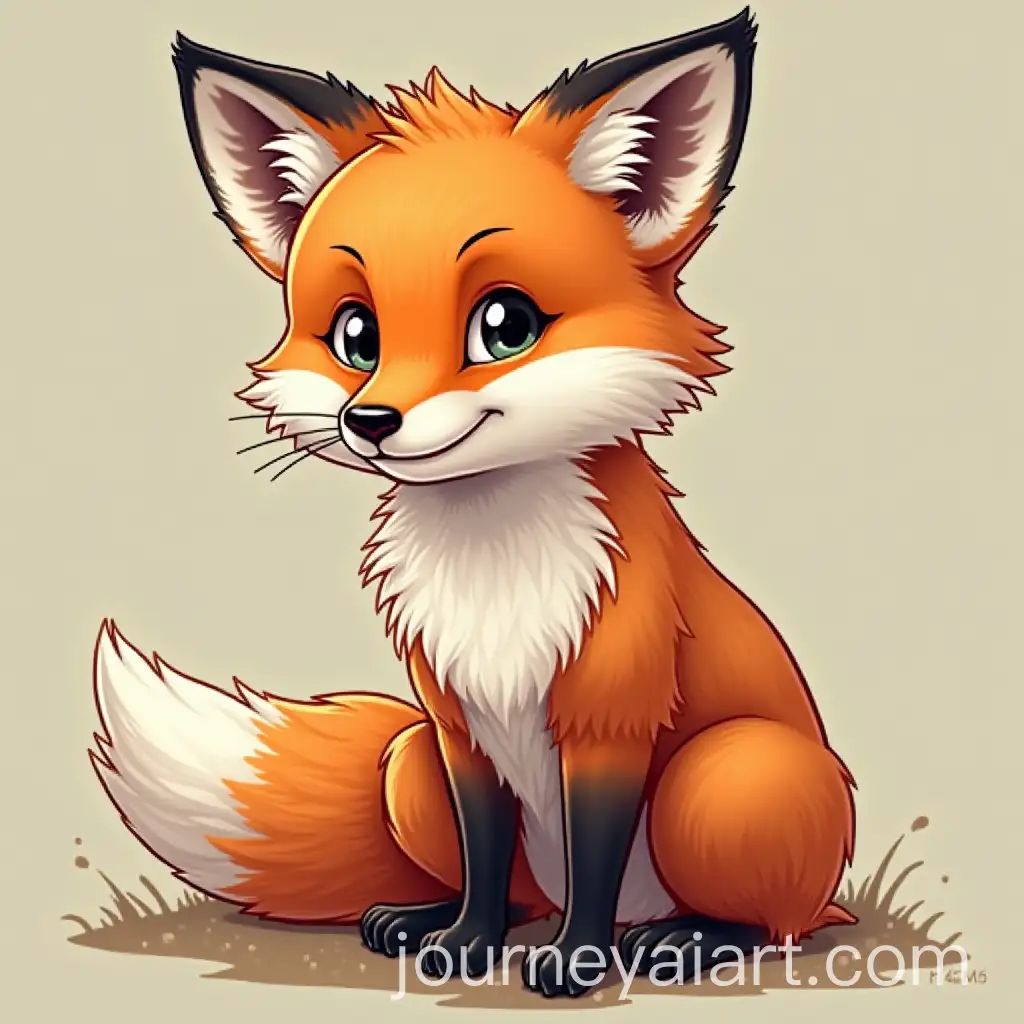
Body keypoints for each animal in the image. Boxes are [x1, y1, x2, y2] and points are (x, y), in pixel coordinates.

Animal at [88, 7, 857, 999]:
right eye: (357, 336)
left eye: (505, 325)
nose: (370, 421)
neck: (493, 568)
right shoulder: (457, 723)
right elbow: (486, 858)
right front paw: (466, 941)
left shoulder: (608, 717)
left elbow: (596, 857)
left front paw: (578, 962)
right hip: (405, 761)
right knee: (522, 887)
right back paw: (422, 919)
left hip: (728, 773)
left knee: (778, 921)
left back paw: (686, 937)